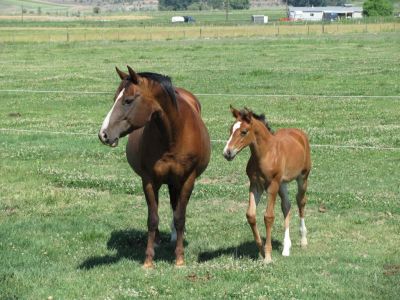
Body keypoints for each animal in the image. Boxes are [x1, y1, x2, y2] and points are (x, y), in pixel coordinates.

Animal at [98, 65, 211, 268]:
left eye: (127, 101)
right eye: (114, 98)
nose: (103, 134)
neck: (173, 134)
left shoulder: (187, 180)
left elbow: (180, 217)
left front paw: (179, 258)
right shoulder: (149, 181)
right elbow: (152, 218)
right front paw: (148, 260)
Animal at [223, 106, 310, 264]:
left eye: (244, 131)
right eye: (231, 129)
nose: (227, 152)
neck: (266, 154)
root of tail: (299, 133)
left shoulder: (272, 185)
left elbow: (268, 217)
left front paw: (268, 256)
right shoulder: (255, 185)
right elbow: (251, 215)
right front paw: (262, 251)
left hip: (302, 177)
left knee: (300, 201)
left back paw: (303, 240)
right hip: (282, 183)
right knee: (286, 205)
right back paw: (286, 248)